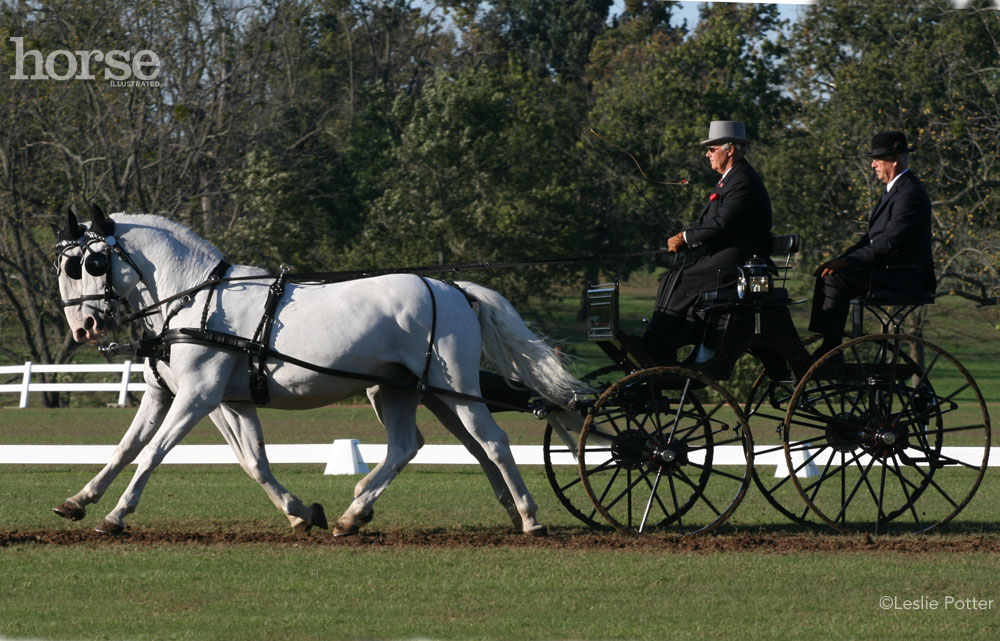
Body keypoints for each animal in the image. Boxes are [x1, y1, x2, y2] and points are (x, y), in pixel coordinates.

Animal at [54, 206, 584, 536]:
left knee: (491, 442)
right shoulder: (200, 398)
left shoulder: (198, 396)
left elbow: (153, 453)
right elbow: (228, 459)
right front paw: (78, 500)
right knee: (424, 446)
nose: (83, 327)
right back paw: (358, 513)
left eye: (89, 262)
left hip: (452, 386)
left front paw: (116, 516)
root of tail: (452, 288)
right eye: (64, 265)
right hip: (406, 391)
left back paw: (530, 517)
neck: (193, 298)